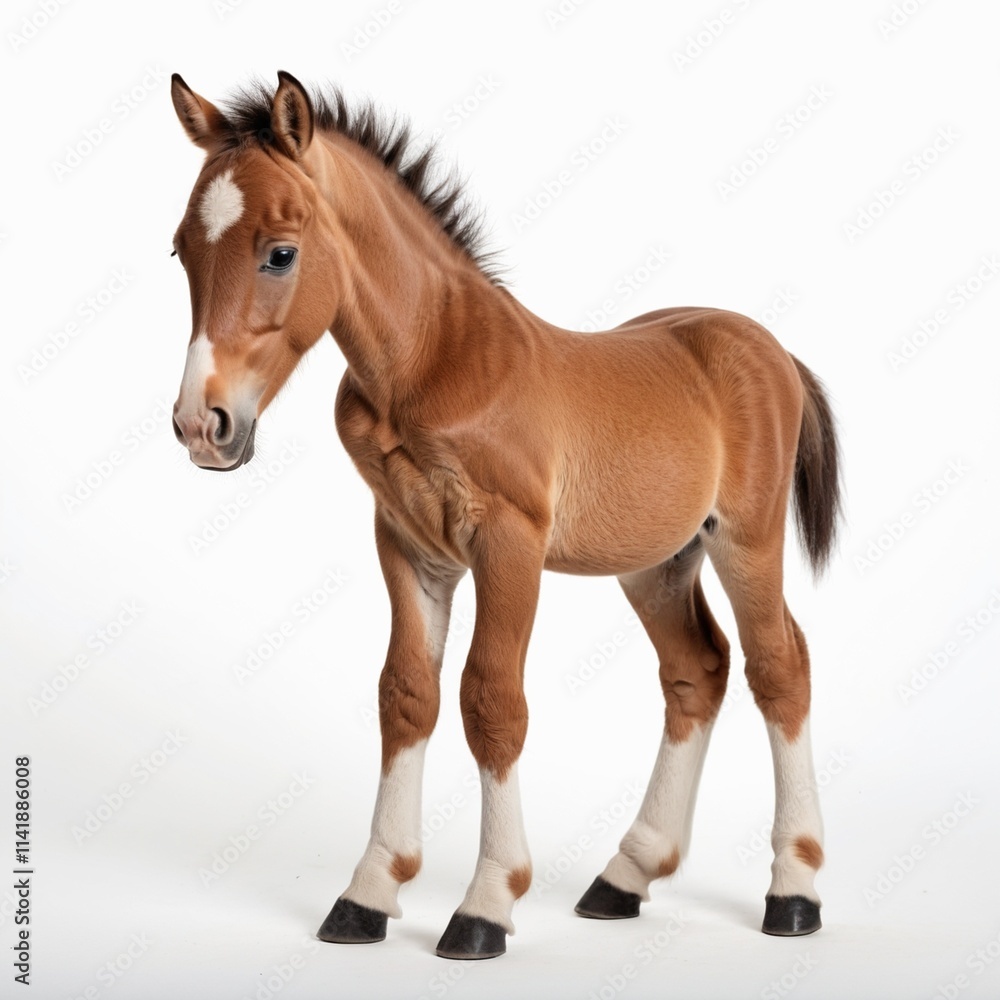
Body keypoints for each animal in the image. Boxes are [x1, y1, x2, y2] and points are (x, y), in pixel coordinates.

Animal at [168, 71, 841, 960]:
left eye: (280, 252)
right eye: (181, 250)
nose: (200, 425)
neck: (427, 359)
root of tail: (769, 346)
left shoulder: (509, 543)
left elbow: (492, 702)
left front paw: (486, 904)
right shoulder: (407, 543)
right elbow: (406, 694)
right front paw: (368, 892)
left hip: (747, 539)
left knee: (779, 665)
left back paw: (793, 887)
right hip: (655, 562)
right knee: (697, 669)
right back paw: (626, 875)